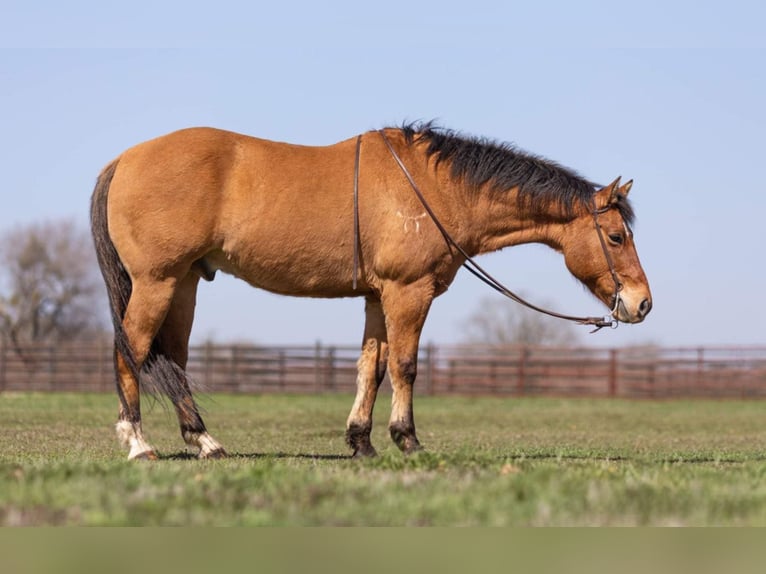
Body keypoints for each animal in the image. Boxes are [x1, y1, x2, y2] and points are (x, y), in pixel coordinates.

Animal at [90, 124, 656, 462]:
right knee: (129, 351)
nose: (642, 302)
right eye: (615, 237)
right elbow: (405, 366)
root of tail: (123, 159)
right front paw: (407, 438)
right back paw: (138, 443)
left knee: (173, 359)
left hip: (184, 284)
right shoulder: (409, 293)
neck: (436, 188)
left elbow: (372, 368)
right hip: (158, 282)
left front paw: (360, 441)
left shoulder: (377, 298)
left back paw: (204, 441)